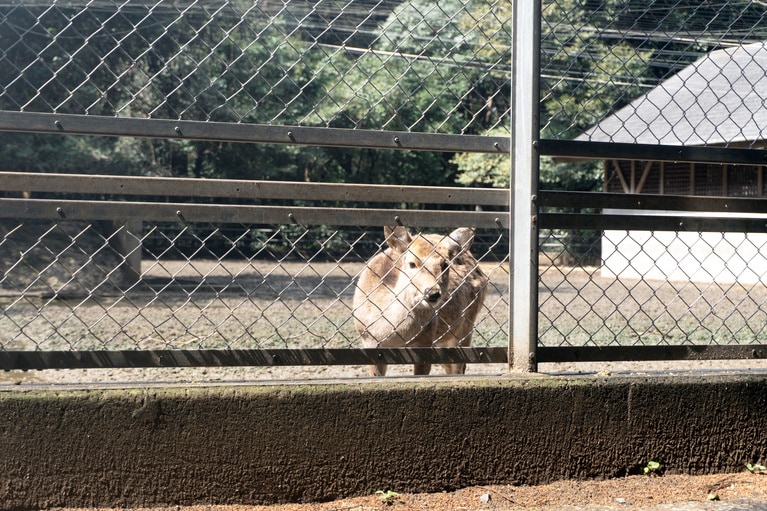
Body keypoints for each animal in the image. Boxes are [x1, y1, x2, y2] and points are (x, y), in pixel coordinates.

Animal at [352, 226, 488, 376]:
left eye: (445, 264)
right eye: (412, 263)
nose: (432, 293)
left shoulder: (426, 341)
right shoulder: (368, 341)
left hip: (467, 324)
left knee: (460, 366)